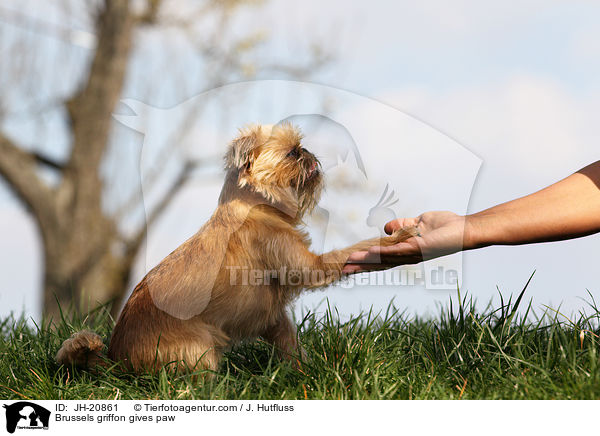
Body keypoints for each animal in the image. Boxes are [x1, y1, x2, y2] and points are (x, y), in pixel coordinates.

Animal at [57, 123, 418, 374]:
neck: (255, 205)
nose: (308, 151)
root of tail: (118, 362)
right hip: (200, 349)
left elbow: (289, 343)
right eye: (292, 153)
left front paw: (301, 372)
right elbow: (353, 251)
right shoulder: (310, 267)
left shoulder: (274, 317)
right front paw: (396, 241)